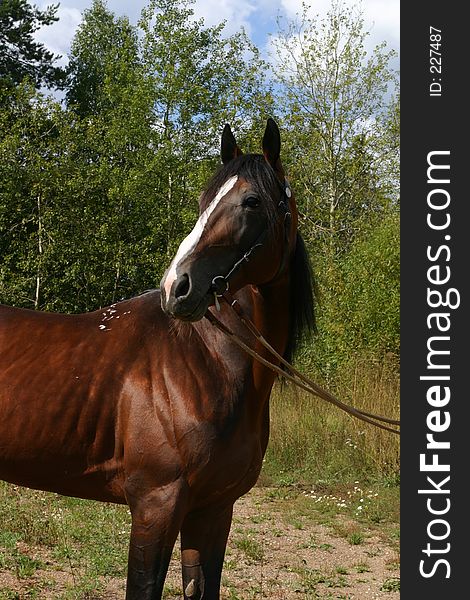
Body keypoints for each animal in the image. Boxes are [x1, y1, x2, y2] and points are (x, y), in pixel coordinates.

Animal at [0, 119, 316, 596]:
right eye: (204, 200)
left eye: (252, 201)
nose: (176, 287)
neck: (207, 362)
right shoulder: (156, 506)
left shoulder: (213, 509)